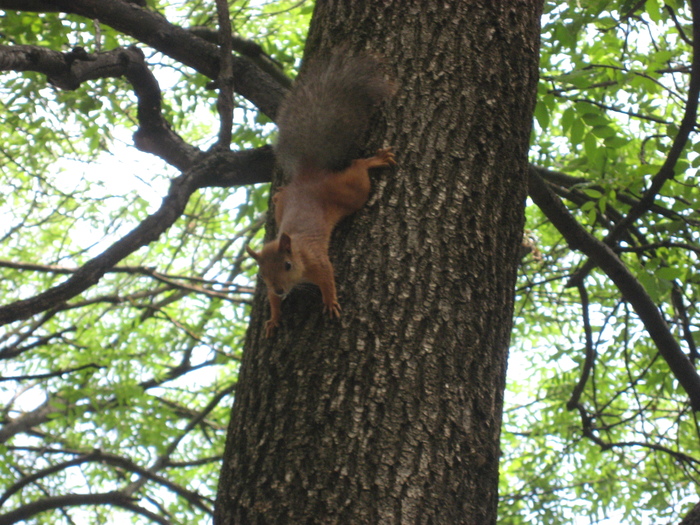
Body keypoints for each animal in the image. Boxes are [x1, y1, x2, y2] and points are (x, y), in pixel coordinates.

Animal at [246, 53, 396, 338]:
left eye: (287, 265)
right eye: (262, 274)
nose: (280, 290)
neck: (297, 253)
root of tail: (309, 176)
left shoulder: (317, 261)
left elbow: (328, 279)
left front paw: (330, 302)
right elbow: (272, 302)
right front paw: (273, 317)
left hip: (351, 191)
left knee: (358, 169)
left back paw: (374, 160)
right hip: (285, 208)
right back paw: (279, 193)